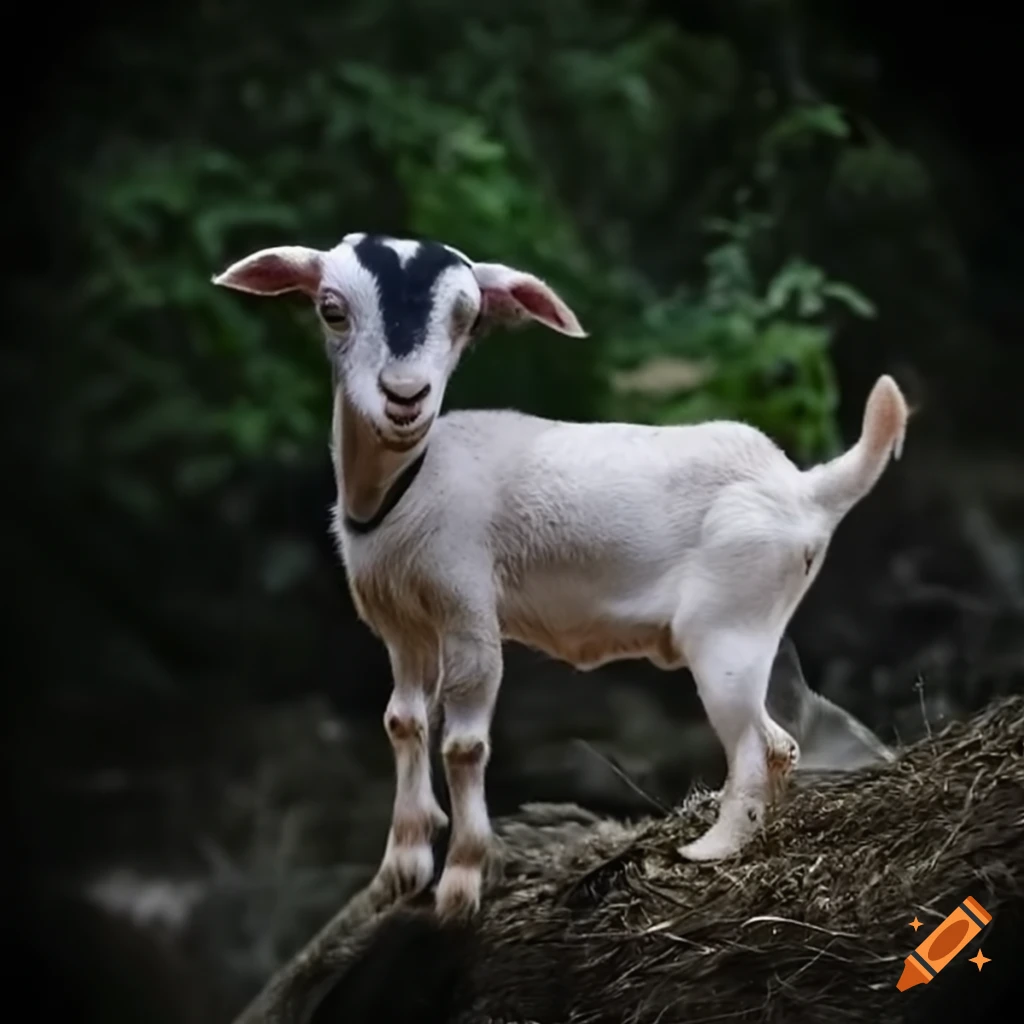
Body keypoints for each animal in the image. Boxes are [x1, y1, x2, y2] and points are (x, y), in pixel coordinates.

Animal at [213, 233, 908, 921]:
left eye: (467, 318)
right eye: (331, 308)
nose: (404, 396)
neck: (403, 488)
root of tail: (805, 487)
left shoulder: (466, 602)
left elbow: (464, 742)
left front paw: (461, 883)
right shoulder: (399, 621)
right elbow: (402, 721)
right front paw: (400, 870)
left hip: (726, 625)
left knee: (755, 744)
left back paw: (710, 848)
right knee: (782, 738)